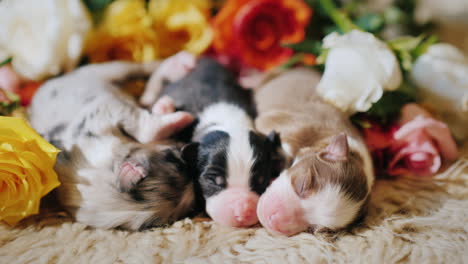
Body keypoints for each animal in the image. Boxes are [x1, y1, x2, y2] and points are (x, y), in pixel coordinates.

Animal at [27, 60, 199, 230]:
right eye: (175, 159)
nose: (186, 144)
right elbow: (147, 129)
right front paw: (182, 116)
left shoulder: (110, 112)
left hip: (104, 71)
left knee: (142, 69)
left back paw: (181, 64)